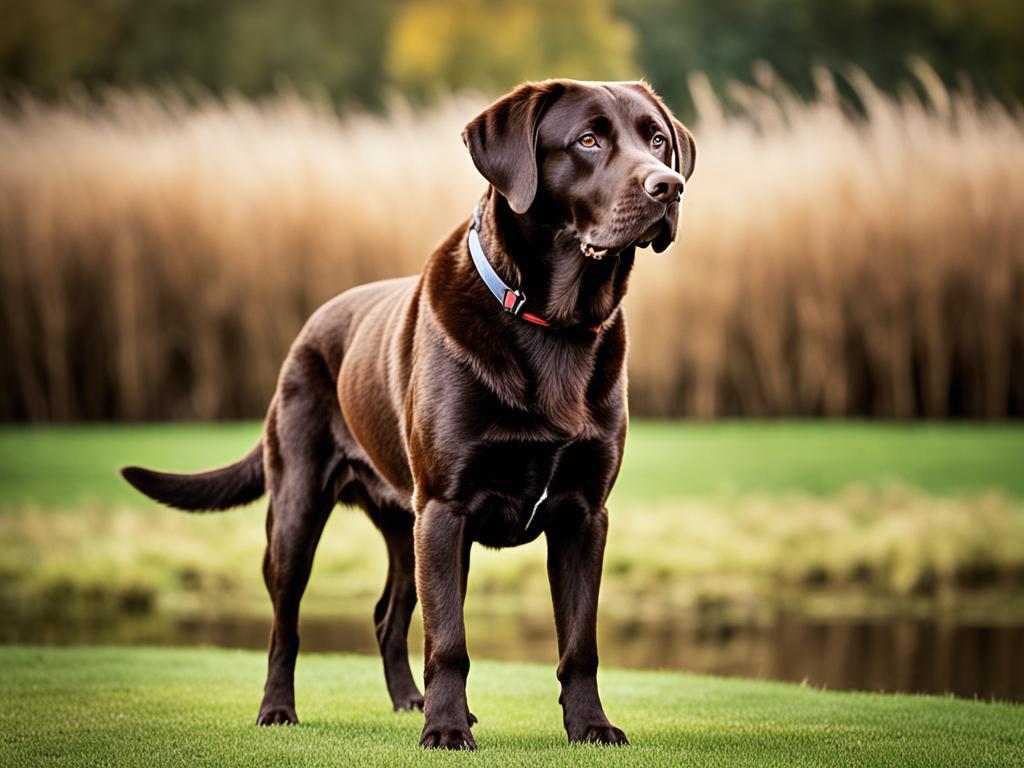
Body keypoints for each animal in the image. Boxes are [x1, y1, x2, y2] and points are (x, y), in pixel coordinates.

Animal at [121, 79, 696, 753]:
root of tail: (307, 329)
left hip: (404, 526)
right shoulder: (446, 509)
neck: (551, 323)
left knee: (386, 616)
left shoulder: (583, 514)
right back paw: (279, 710)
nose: (669, 187)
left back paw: (406, 702)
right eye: (587, 139)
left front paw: (590, 726)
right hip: (300, 511)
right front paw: (446, 729)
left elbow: (579, 641)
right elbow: (448, 639)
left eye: (656, 139)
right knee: (286, 623)